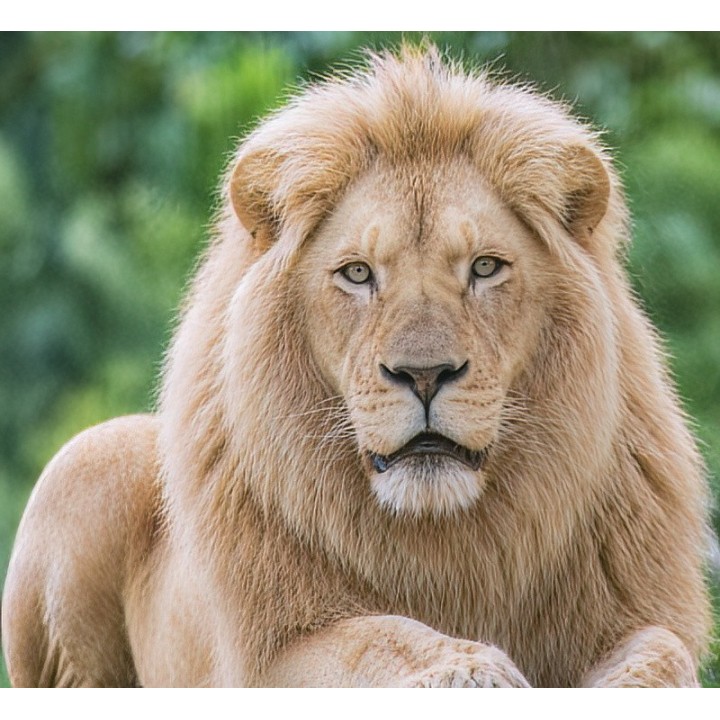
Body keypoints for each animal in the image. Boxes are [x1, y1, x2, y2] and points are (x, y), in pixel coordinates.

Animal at [2, 46, 712, 688]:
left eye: (485, 267)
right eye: (358, 273)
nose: (423, 375)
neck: (447, 533)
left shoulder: (638, 611)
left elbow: (662, 651)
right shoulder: (266, 658)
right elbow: (376, 638)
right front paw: (469, 669)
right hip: (90, 460)